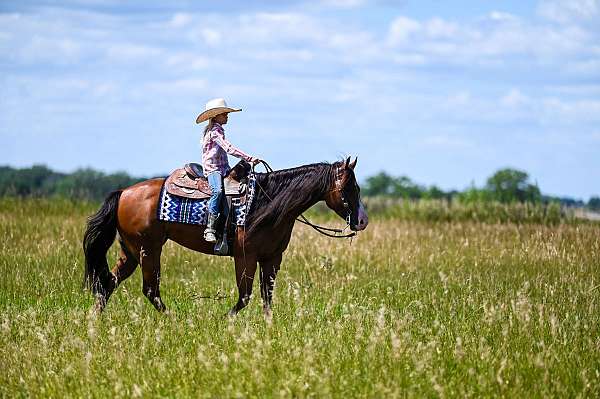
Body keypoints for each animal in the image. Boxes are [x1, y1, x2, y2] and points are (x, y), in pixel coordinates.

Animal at [82, 158, 368, 318]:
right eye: (348, 188)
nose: (362, 221)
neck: (267, 202)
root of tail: (124, 192)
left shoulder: (272, 258)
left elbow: (267, 296)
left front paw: (269, 325)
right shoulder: (245, 256)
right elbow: (245, 296)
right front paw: (224, 320)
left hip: (130, 250)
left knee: (109, 283)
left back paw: (93, 321)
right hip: (148, 249)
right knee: (150, 289)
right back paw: (174, 320)